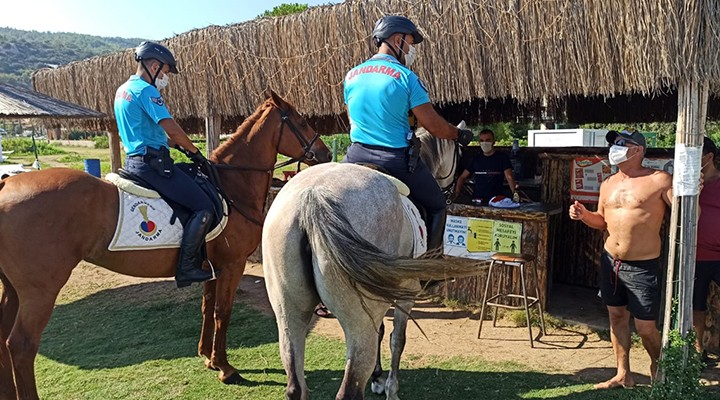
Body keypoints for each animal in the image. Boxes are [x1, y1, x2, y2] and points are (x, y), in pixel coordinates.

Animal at [0, 89, 330, 398]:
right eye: (301, 121)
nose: (325, 154)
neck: (231, 185)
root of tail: (6, 184)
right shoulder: (232, 265)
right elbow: (223, 312)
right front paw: (225, 367)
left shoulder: (212, 267)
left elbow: (207, 308)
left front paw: (207, 357)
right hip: (40, 290)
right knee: (21, 345)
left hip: (13, 289)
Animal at [262, 124, 480, 396]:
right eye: (459, 156)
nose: (464, 187)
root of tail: (312, 198)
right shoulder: (406, 295)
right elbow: (397, 339)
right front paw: (391, 389)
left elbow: (382, 332)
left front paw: (378, 378)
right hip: (358, 322)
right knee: (350, 387)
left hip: (289, 314)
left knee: (295, 385)